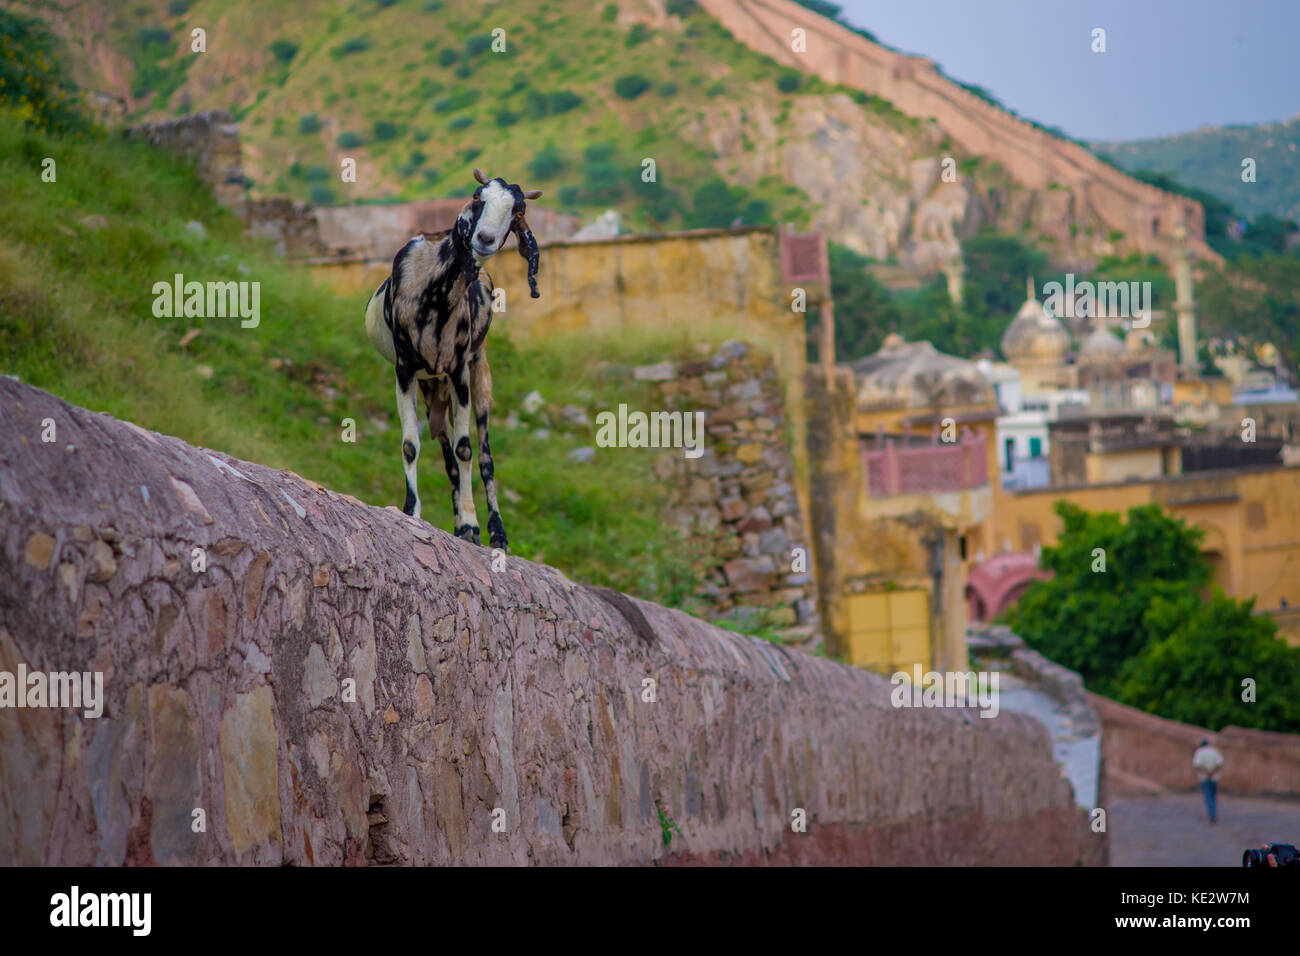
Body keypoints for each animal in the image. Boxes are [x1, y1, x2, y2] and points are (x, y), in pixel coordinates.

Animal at [364, 167, 540, 548]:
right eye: (477, 197)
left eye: (518, 211)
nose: (485, 238)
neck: (435, 292)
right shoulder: (405, 370)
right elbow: (411, 445)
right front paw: (412, 511)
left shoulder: (460, 372)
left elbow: (466, 450)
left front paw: (473, 525)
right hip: (432, 386)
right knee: (444, 452)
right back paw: (458, 522)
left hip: (478, 374)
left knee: (484, 455)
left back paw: (493, 531)